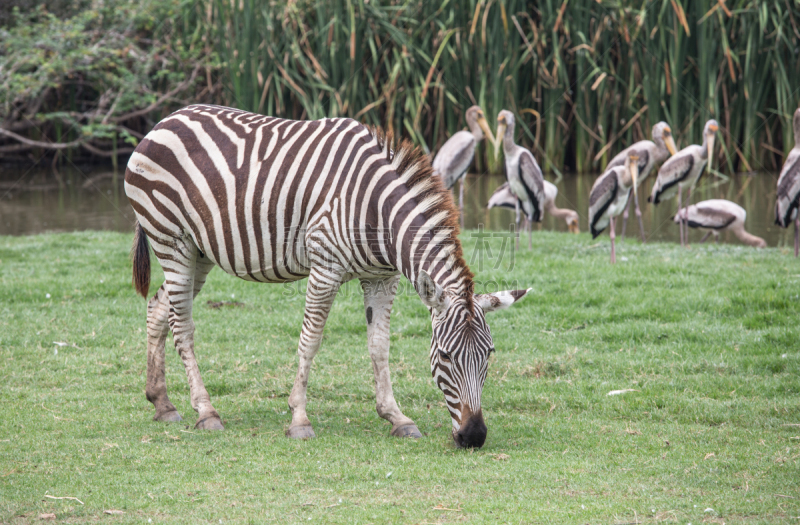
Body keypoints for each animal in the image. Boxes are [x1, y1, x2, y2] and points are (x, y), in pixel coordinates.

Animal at [125, 104, 528, 448]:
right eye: (444, 356)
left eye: (489, 355)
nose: (474, 436)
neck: (377, 210)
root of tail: (165, 121)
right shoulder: (325, 269)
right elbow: (311, 341)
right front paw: (299, 419)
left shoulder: (382, 278)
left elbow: (379, 345)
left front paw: (396, 417)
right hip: (171, 240)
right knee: (182, 325)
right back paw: (206, 411)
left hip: (200, 251)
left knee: (159, 308)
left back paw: (162, 403)